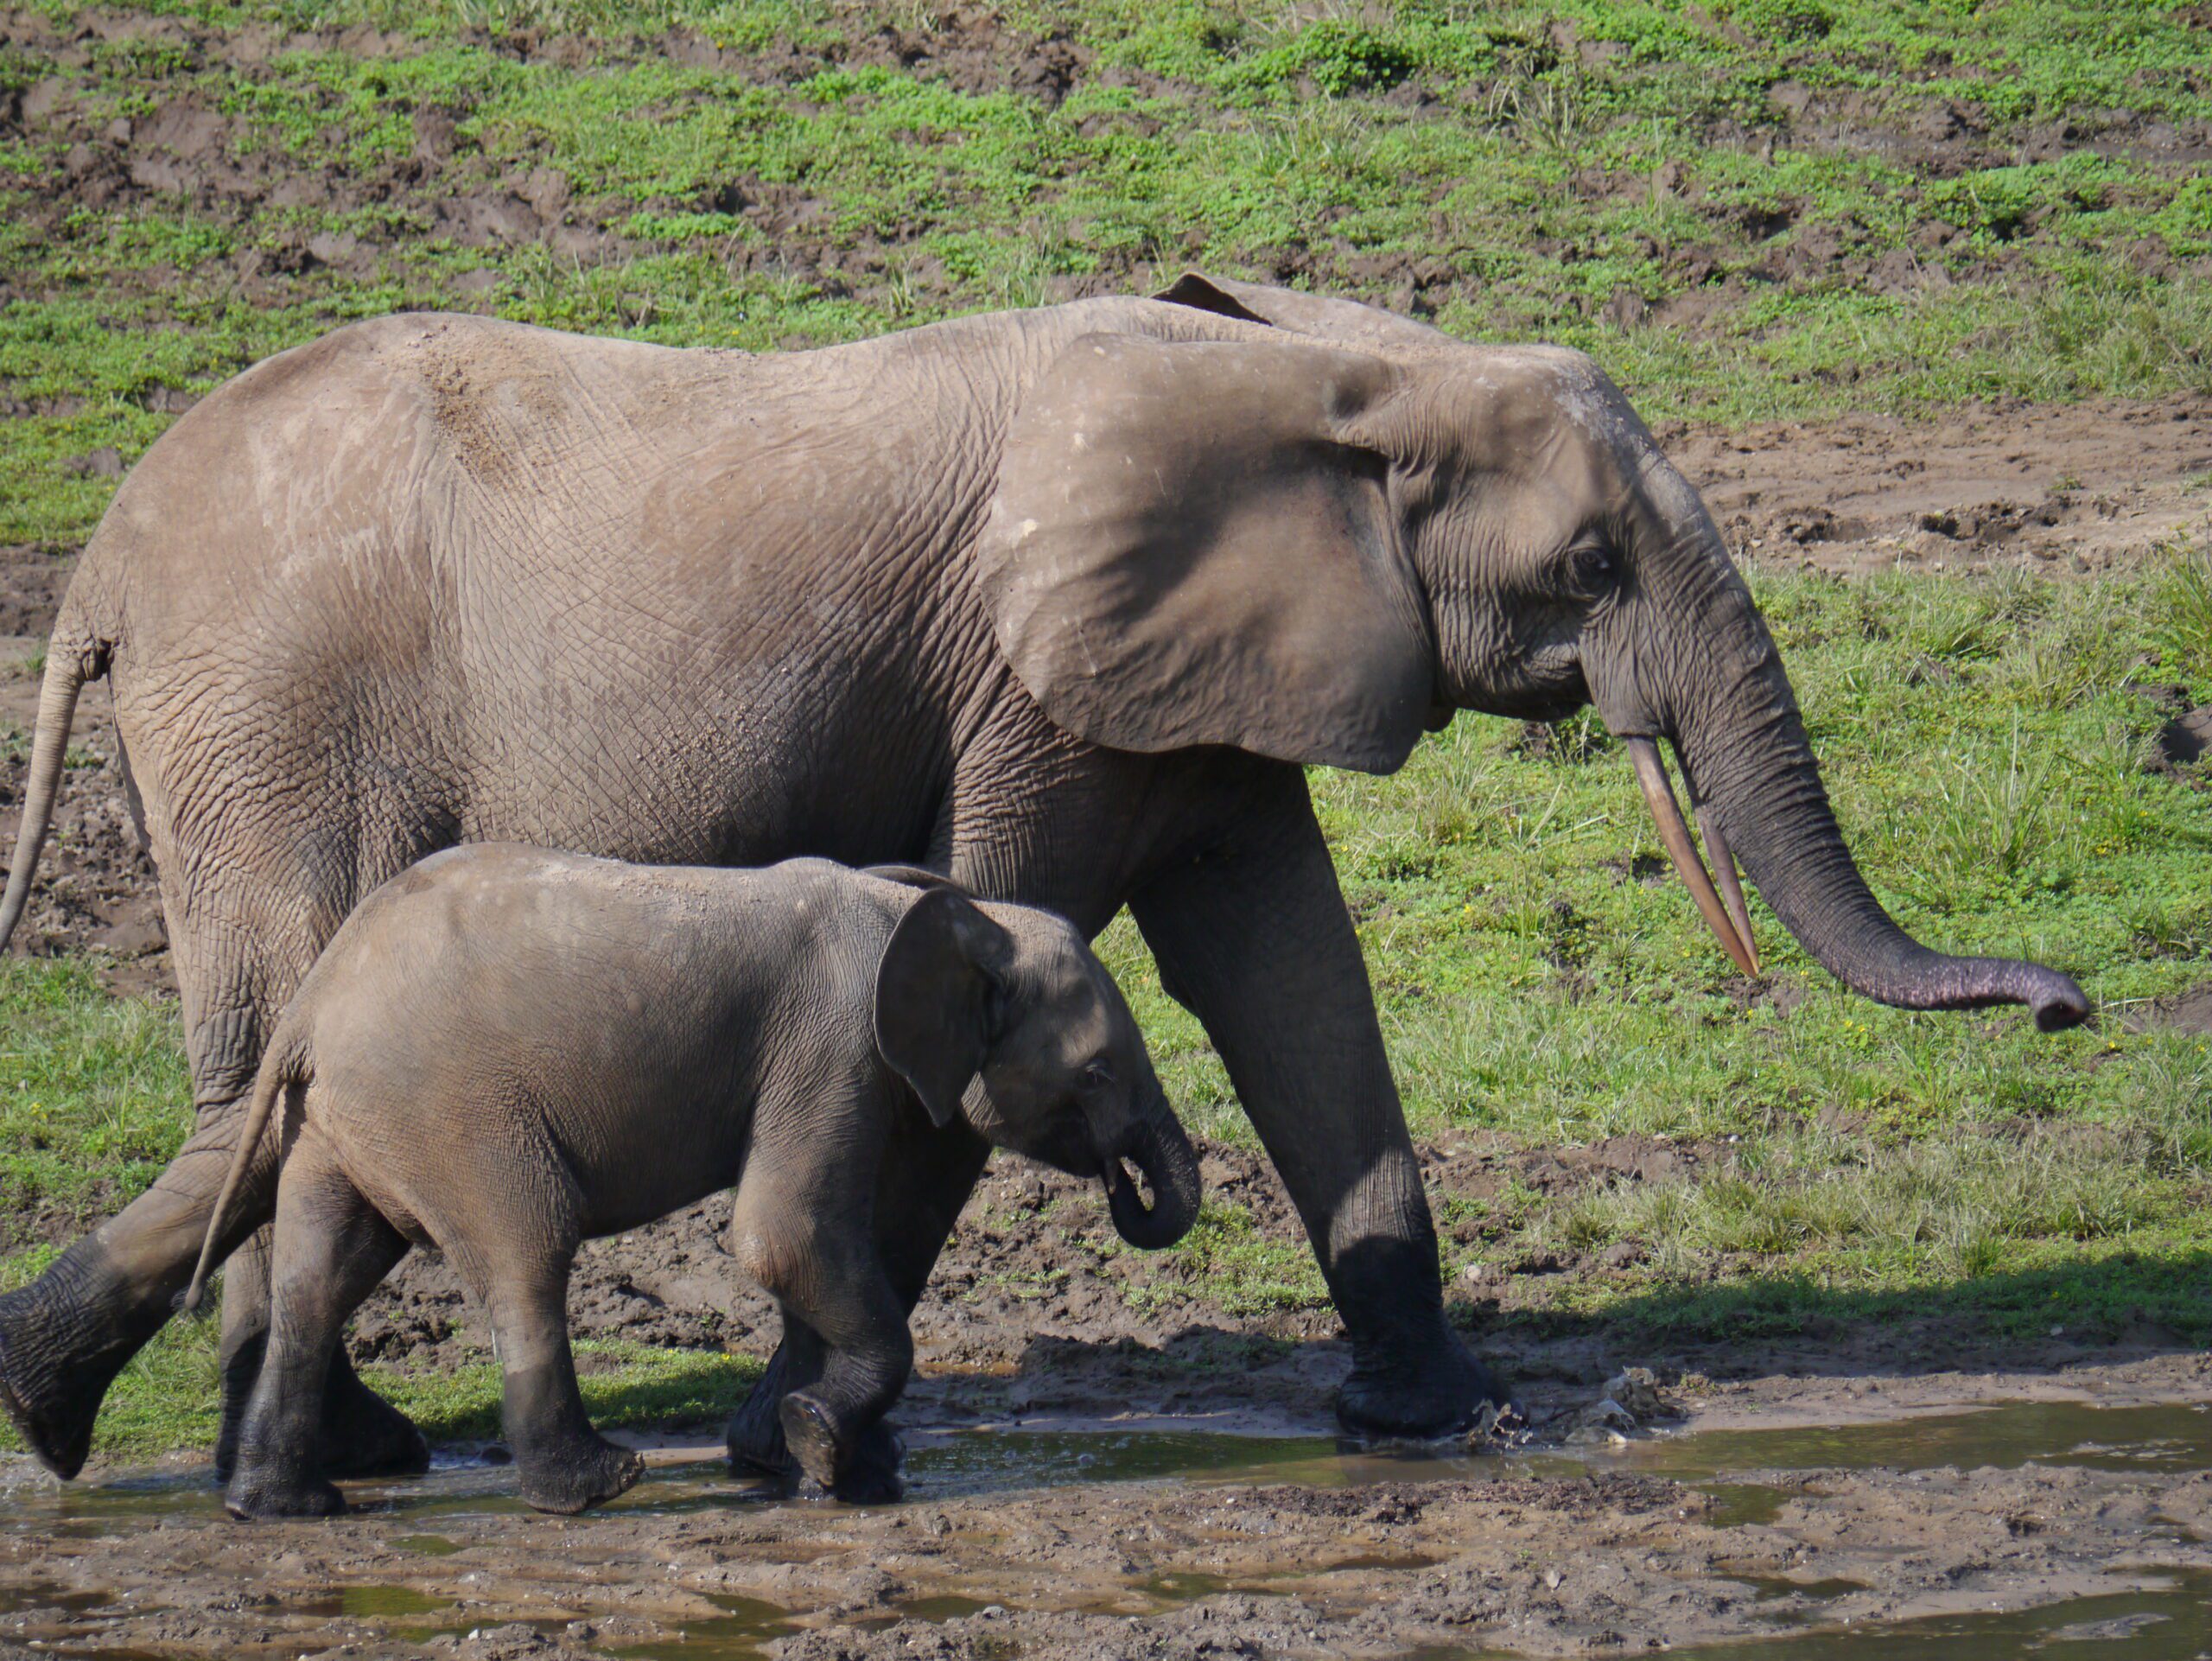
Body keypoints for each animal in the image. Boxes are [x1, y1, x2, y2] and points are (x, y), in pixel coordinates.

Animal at [181, 849, 1203, 1512]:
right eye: (1098, 1072)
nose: (1124, 1182)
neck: (956, 914)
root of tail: (310, 1003)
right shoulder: (831, 1045)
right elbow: (783, 1235)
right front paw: (824, 1449)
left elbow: (815, 1248)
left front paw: (843, 1471)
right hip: (452, 1108)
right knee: (526, 1250)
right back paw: (595, 1486)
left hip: (346, 1120)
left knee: (320, 1276)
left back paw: (280, 1507)